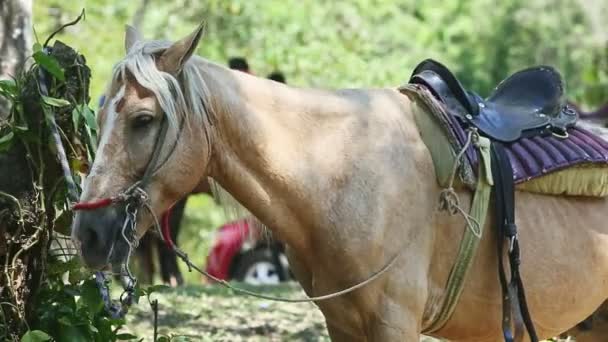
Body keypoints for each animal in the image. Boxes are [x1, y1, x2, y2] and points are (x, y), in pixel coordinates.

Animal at [71, 22, 608, 340]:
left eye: (143, 120)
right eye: (100, 113)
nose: (88, 235)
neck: (339, 176)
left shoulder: (395, 323)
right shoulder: (343, 325)